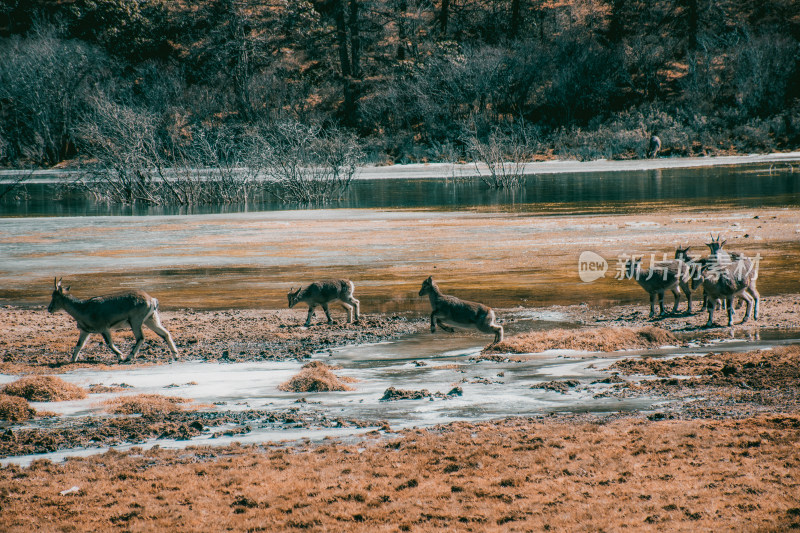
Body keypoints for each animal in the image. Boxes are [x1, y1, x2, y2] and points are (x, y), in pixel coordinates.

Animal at [47, 278, 179, 362]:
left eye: (54, 296)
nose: (49, 308)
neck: (83, 308)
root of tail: (151, 300)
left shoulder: (104, 328)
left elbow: (109, 343)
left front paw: (120, 356)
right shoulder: (85, 331)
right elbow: (79, 345)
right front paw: (72, 359)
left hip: (135, 321)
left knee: (141, 337)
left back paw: (129, 357)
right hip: (151, 319)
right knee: (165, 333)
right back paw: (176, 355)